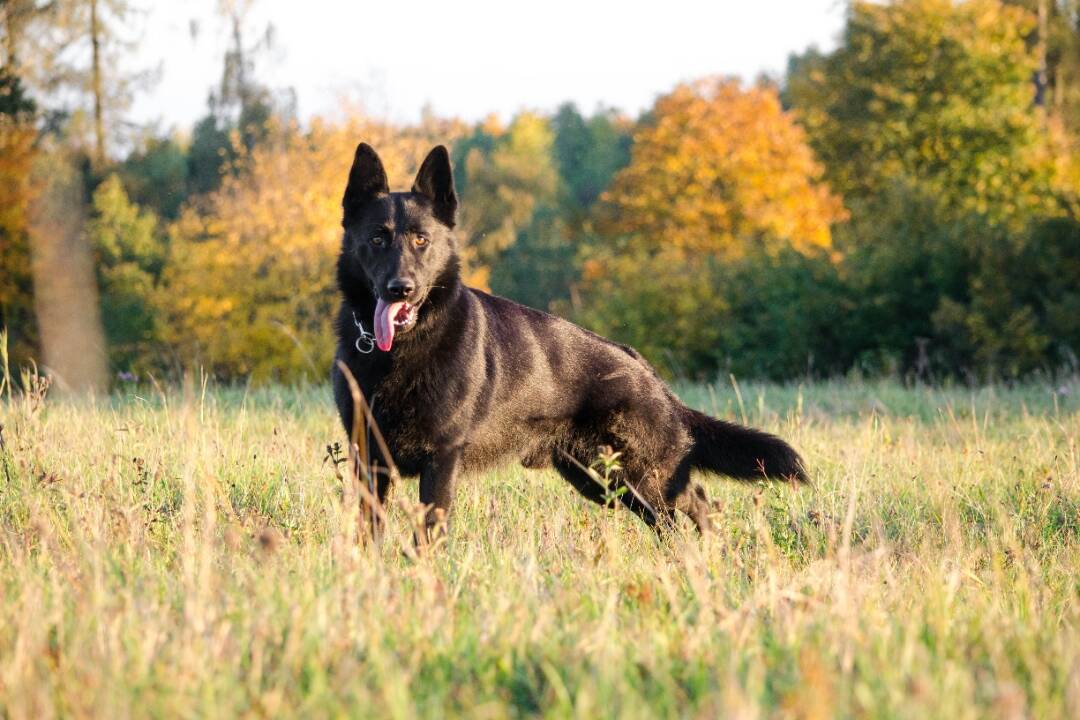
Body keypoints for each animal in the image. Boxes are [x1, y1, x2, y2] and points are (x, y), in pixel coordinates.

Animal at [332, 143, 807, 539]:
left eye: (421, 240)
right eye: (377, 238)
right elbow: (368, 530)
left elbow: (428, 533)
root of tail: (646, 370)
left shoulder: (441, 459)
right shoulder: (369, 461)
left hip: (637, 477)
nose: (401, 289)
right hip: (606, 480)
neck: (405, 351)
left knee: (686, 506)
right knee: (691, 504)